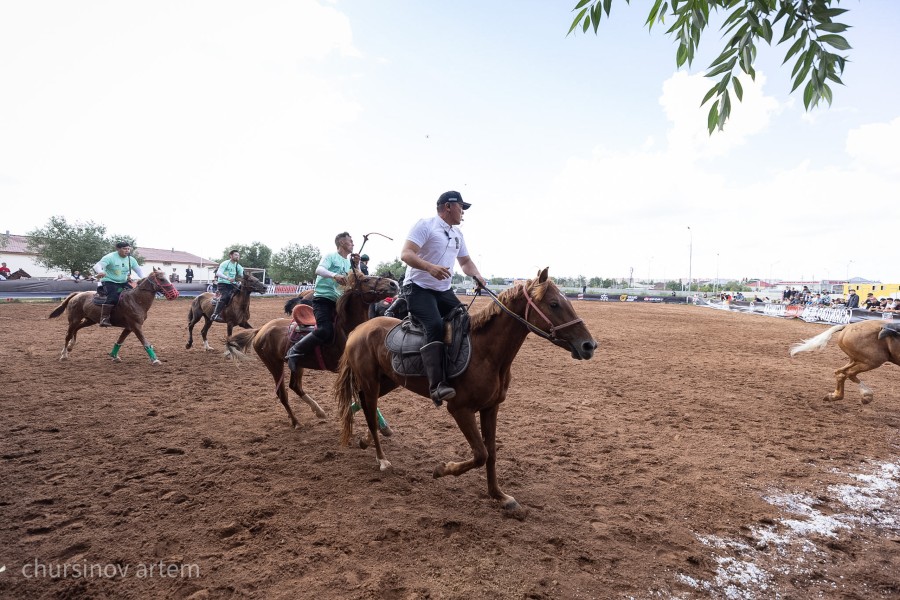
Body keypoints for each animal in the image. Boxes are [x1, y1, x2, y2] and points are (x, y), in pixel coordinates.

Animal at [48, 268, 181, 364]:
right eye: (161, 279)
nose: (175, 294)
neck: (136, 299)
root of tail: (77, 294)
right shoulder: (136, 326)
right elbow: (145, 342)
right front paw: (155, 359)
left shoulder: (129, 327)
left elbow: (119, 341)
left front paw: (114, 356)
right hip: (74, 319)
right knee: (68, 334)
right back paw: (64, 354)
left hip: (89, 320)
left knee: (76, 330)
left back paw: (70, 347)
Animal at [223, 272, 400, 432]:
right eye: (366, 279)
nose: (394, 284)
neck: (346, 329)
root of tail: (261, 329)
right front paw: (382, 427)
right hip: (274, 365)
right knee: (282, 394)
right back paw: (296, 422)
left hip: (297, 364)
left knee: (295, 386)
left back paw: (319, 411)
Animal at [332, 270, 596, 512]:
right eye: (554, 304)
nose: (589, 345)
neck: (485, 353)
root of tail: (359, 329)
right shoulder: (460, 410)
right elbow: (480, 454)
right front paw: (442, 470)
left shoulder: (491, 408)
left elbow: (491, 453)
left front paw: (499, 495)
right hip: (371, 382)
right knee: (368, 410)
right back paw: (382, 458)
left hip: (389, 381)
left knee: (365, 405)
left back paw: (367, 439)